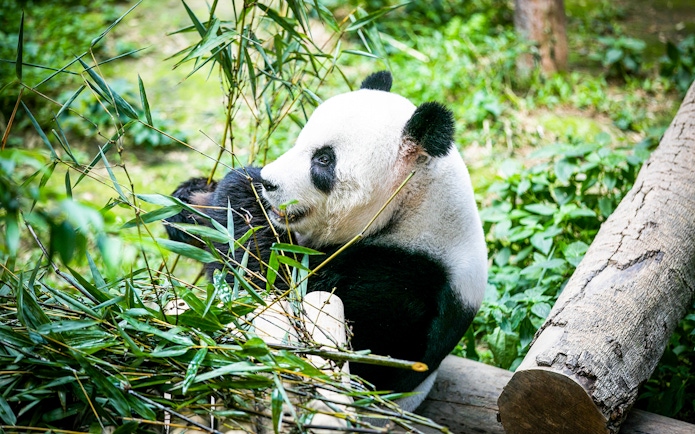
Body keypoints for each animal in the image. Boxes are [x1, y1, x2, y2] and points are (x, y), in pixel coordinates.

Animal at [165, 71, 487, 411]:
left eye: (323, 159)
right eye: (299, 142)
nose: (268, 182)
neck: (413, 208)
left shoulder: (404, 287)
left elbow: (275, 294)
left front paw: (241, 189)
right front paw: (189, 199)